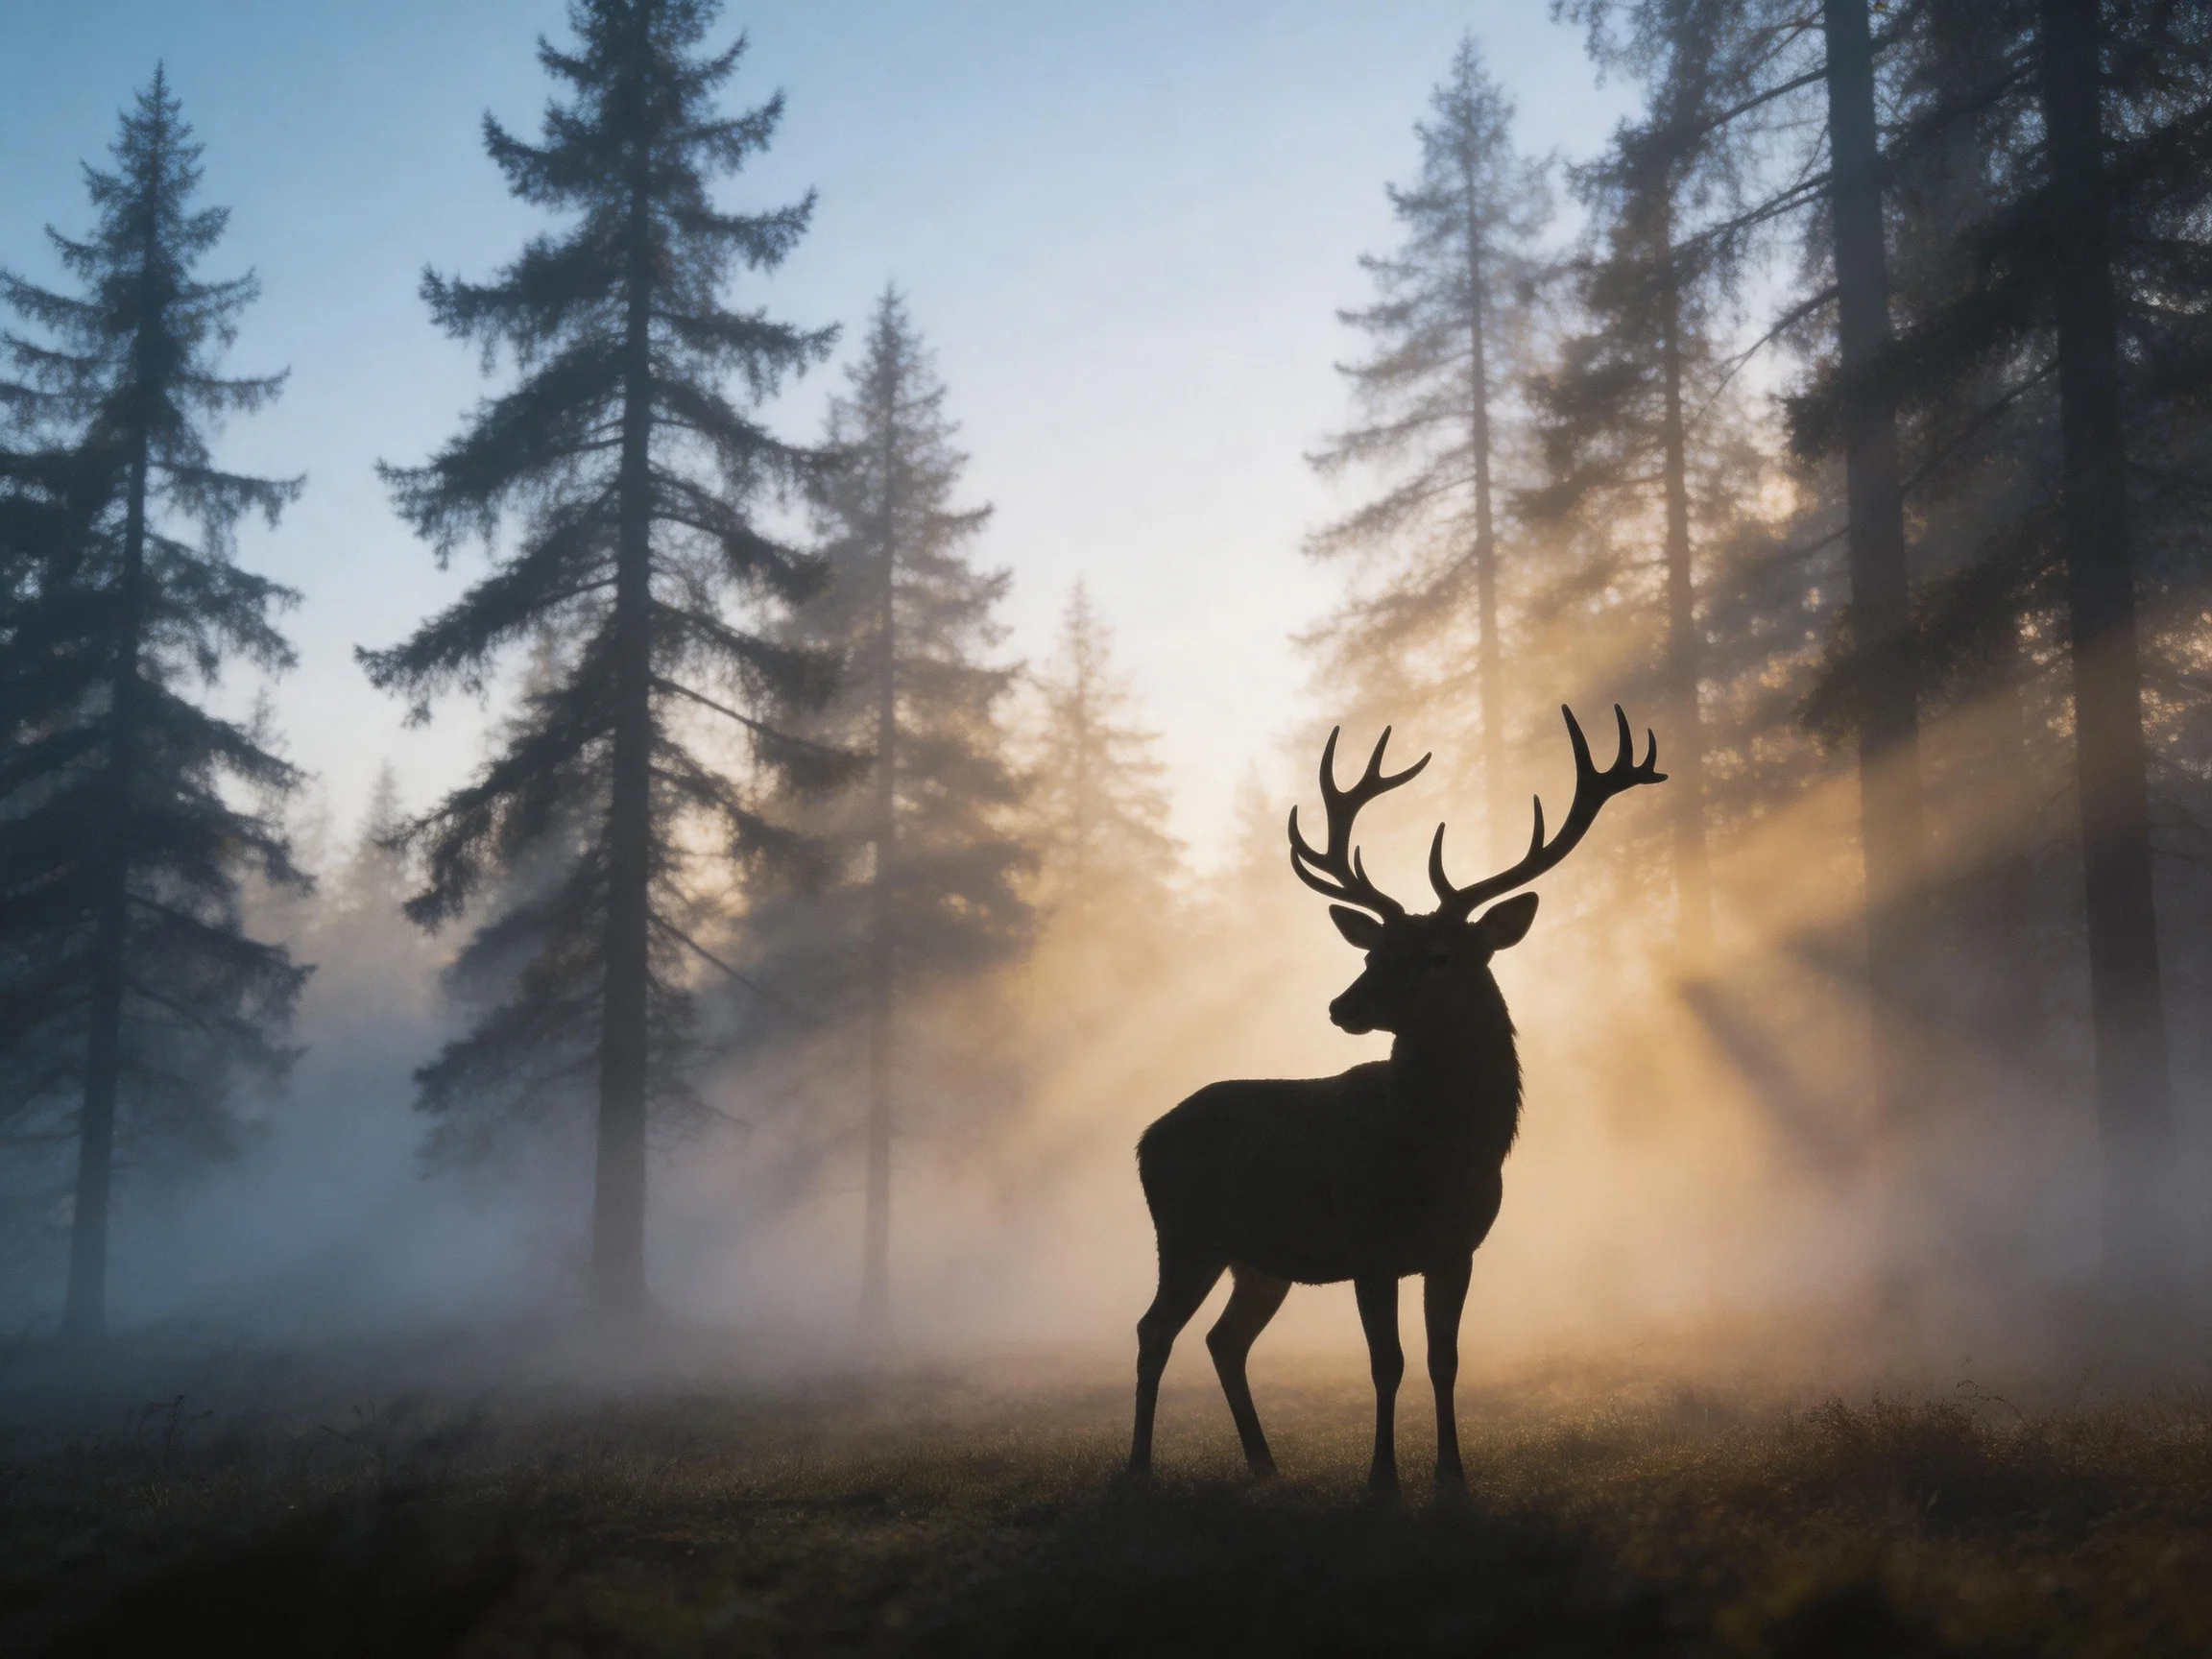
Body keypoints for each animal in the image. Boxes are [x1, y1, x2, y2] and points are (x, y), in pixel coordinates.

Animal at [1128, 704, 1664, 1494]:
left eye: (1437, 956)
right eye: (1370, 952)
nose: (1341, 1005)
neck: (1436, 1155)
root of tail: (1145, 1138)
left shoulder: (1458, 1249)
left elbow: (1444, 1362)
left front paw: (1452, 1477)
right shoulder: (1369, 1242)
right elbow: (1387, 1364)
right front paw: (1382, 1480)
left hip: (1260, 1258)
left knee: (1224, 1340)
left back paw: (1265, 1466)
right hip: (1187, 1233)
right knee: (1153, 1331)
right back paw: (1137, 1467)